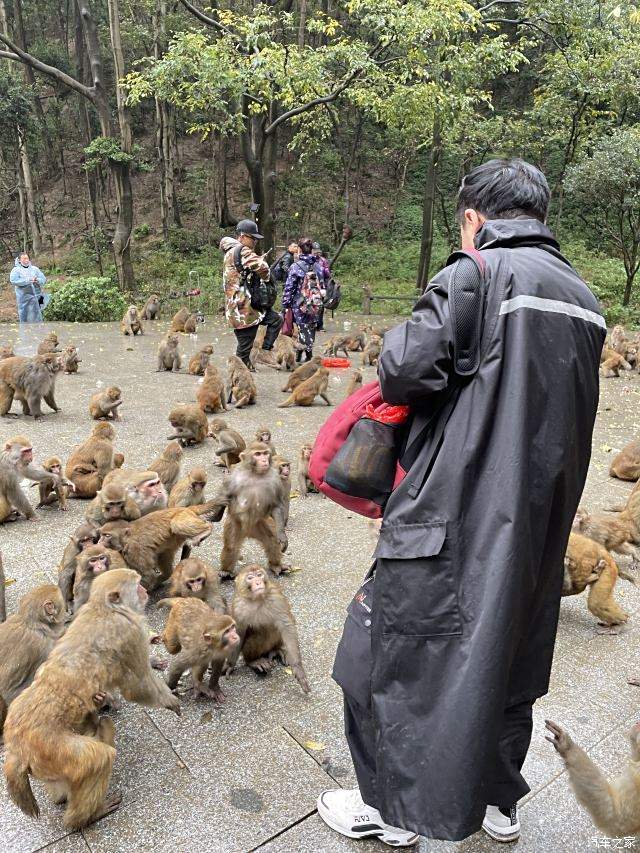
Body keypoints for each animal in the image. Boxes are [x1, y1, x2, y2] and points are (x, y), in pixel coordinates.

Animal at [219, 442, 288, 576]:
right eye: (257, 454)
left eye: (265, 453)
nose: (264, 460)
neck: (255, 473)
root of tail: (248, 531)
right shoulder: (233, 477)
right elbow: (225, 495)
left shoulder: (275, 479)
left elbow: (276, 505)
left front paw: (282, 535)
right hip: (236, 523)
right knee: (231, 546)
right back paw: (226, 571)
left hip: (260, 523)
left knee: (271, 541)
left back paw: (276, 565)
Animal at [230, 564, 310, 692]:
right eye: (250, 578)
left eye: (259, 575)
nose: (258, 582)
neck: (257, 599)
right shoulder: (238, 606)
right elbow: (238, 633)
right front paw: (228, 666)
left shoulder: (276, 597)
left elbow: (286, 626)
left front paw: (298, 668)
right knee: (259, 634)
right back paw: (253, 661)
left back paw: (277, 650)